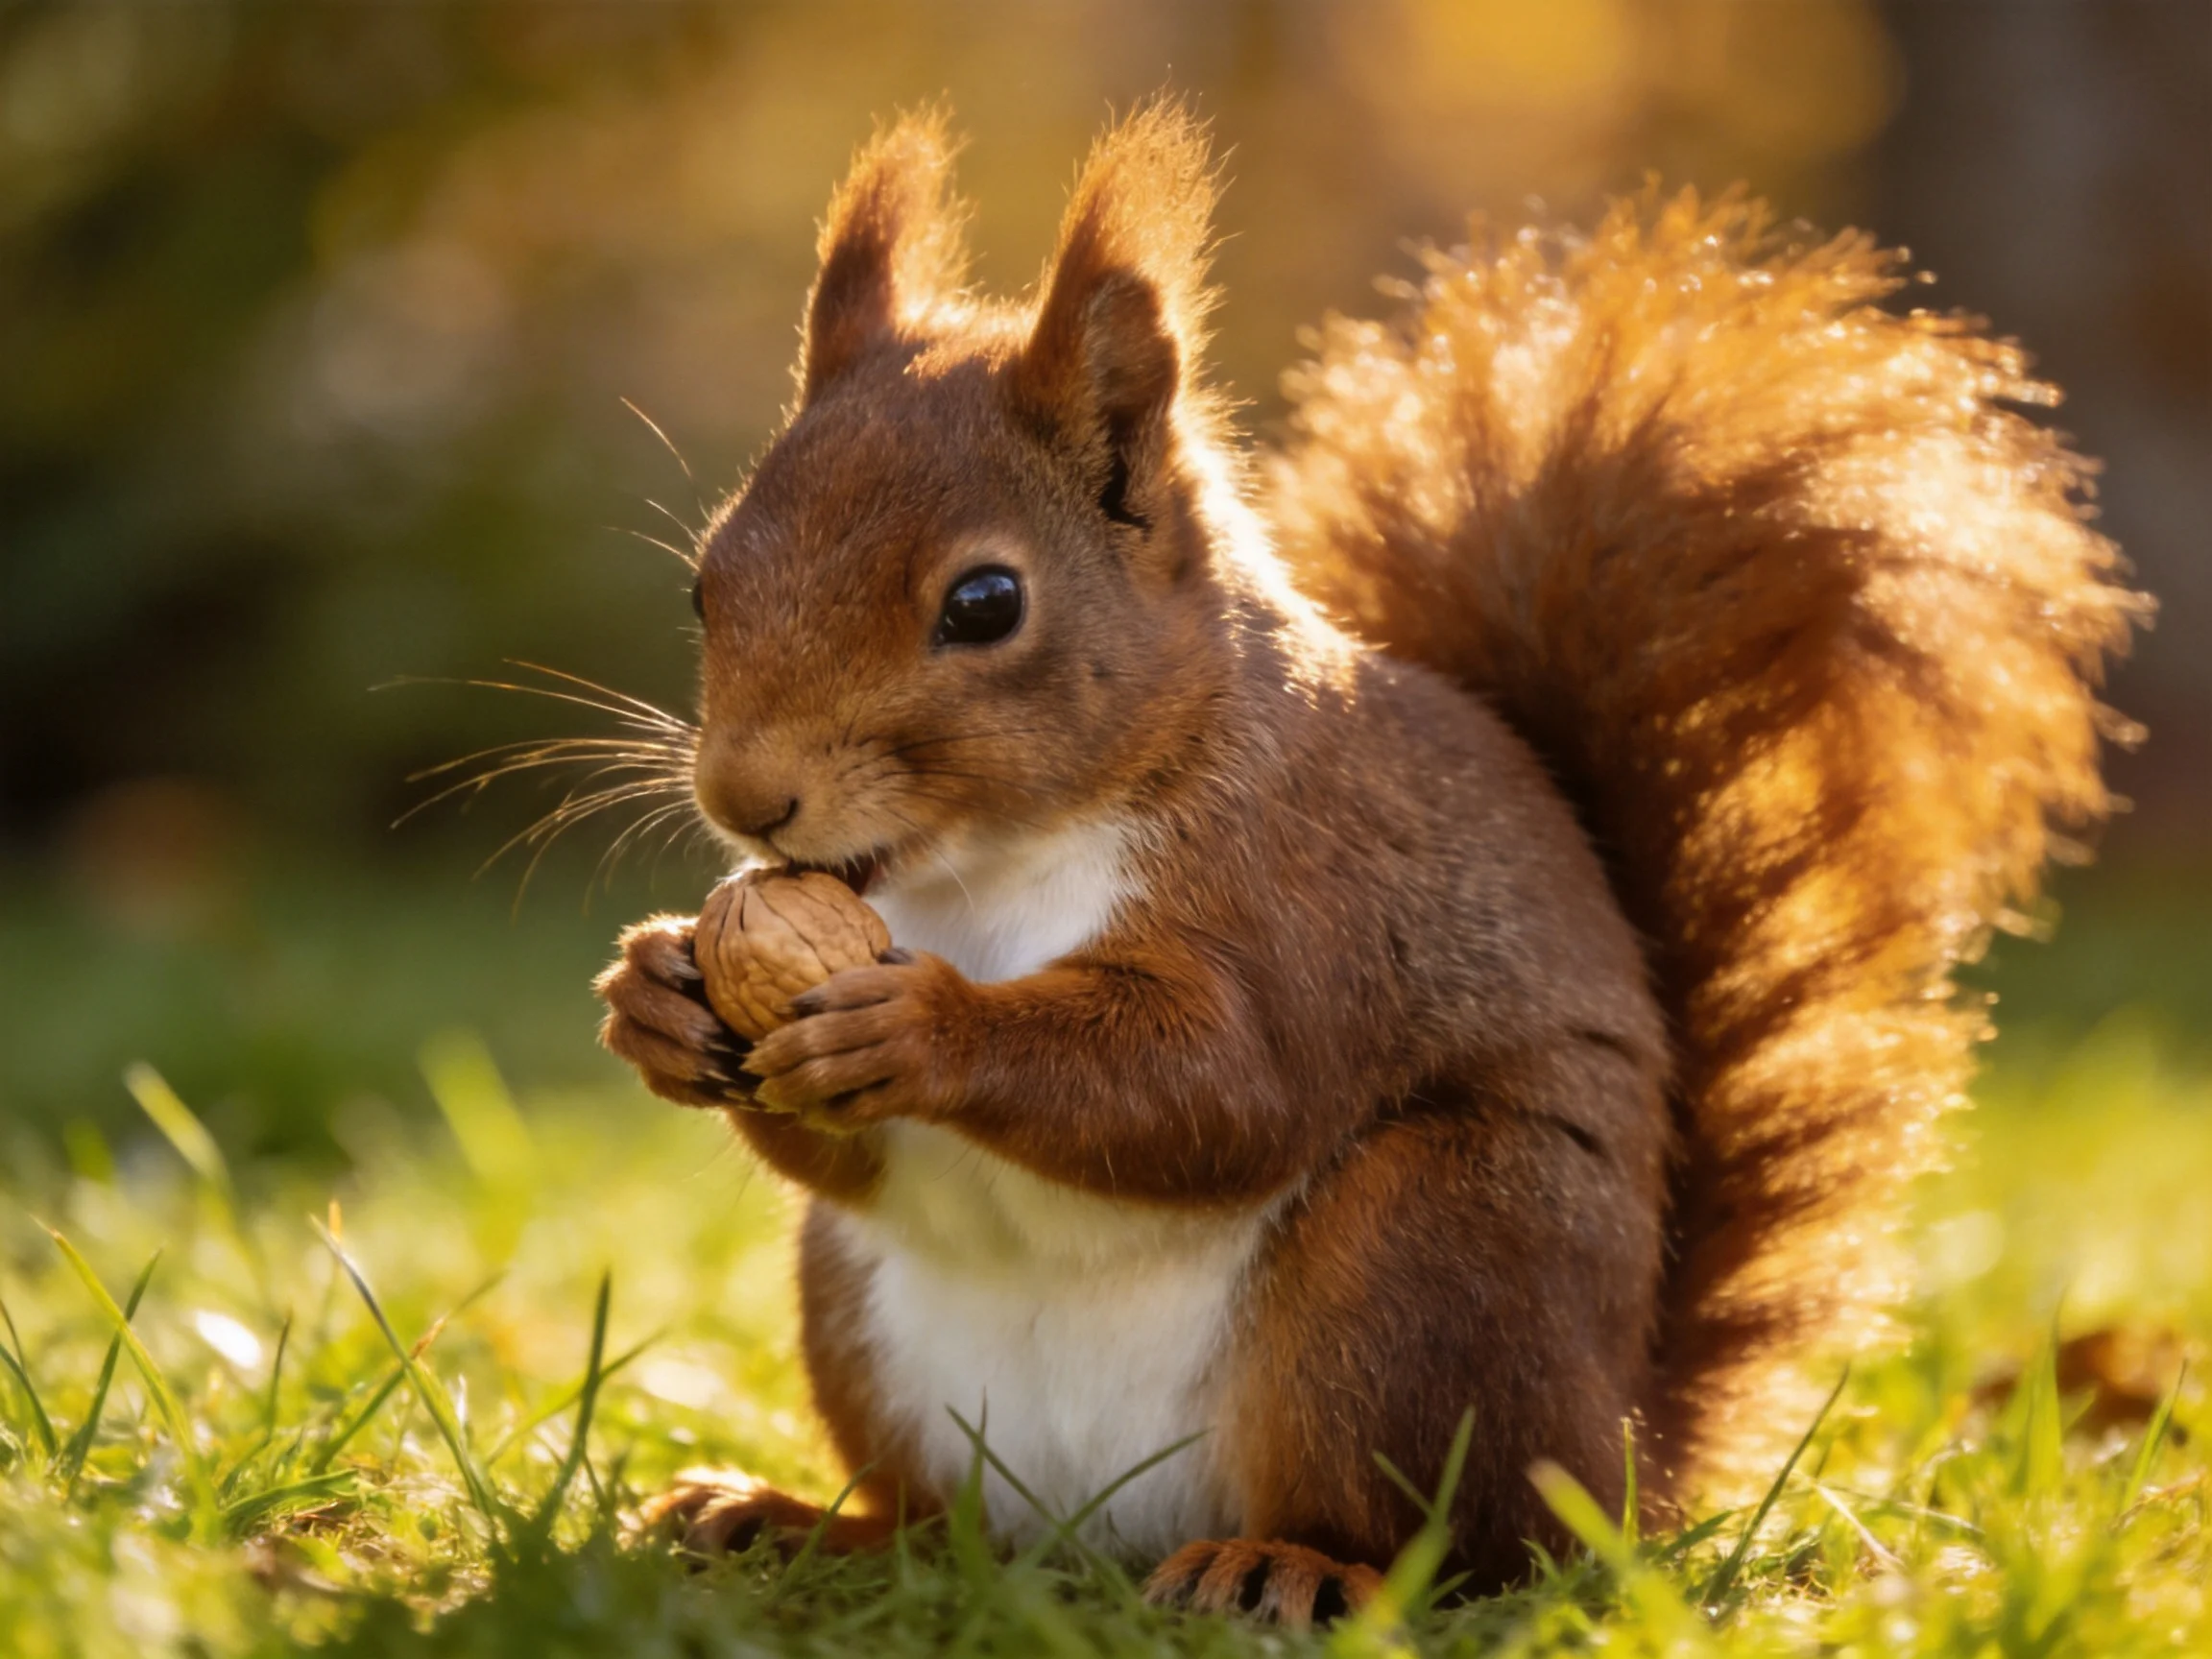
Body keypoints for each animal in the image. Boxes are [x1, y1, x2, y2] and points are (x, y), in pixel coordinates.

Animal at [593, 102, 2145, 1625]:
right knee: (944, 1531)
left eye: (985, 603)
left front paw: (922, 1026)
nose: (747, 797)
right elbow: (840, 1147)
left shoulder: (1314, 892)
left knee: (1458, 1548)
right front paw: (657, 994)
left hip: (1426, 1262)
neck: (981, 871)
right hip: (867, 1327)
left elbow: (1220, 1084)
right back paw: (792, 1526)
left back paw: (1291, 1567)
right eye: (705, 583)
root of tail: (1621, 1459)